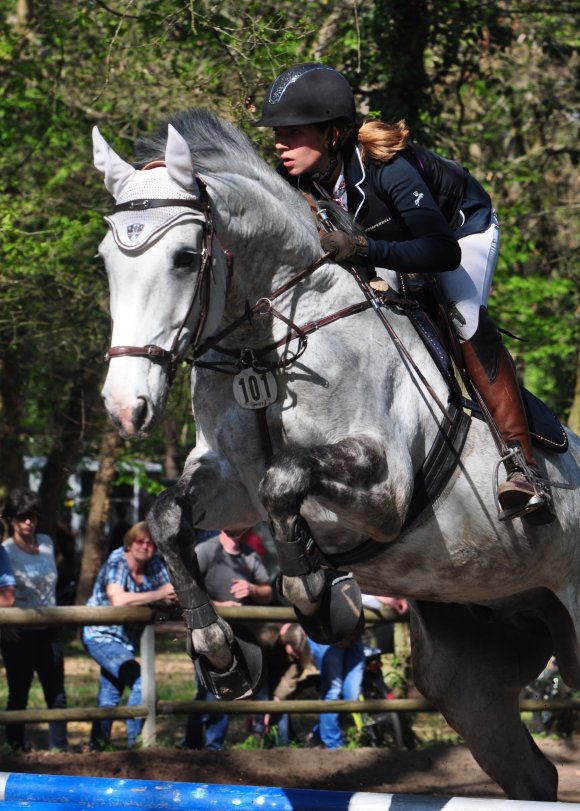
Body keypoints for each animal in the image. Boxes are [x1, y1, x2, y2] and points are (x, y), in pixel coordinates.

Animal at [94, 108, 580, 800]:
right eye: (107, 259)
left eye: (186, 258)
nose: (124, 406)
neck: (266, 344)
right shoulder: (228, 483)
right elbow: (166, 519)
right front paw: (222, 654)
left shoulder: (387, 488)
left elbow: (288, 478)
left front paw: (317, 593)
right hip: (472, 666)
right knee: (531, 772)